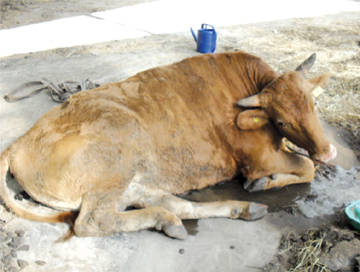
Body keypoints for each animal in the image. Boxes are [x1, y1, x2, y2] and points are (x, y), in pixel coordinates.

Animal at [0, 51, 338, 238]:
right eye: (281, 121)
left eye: (313, 105)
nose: (329, 151)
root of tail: (19, 142)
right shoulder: (260, 158)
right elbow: (306, 167)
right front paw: (265, 182)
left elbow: (305, 163)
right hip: (116, 158)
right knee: (93, 222)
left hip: (133, 180)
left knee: (176, 204)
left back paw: (234, 210)